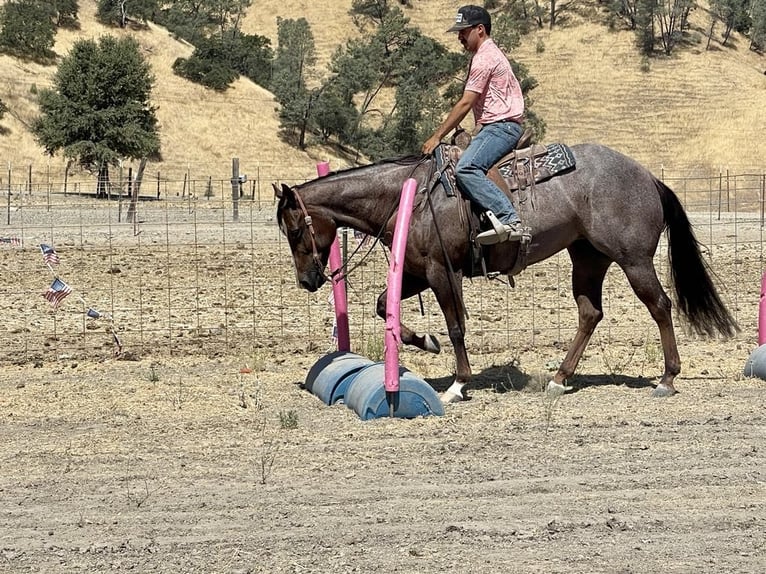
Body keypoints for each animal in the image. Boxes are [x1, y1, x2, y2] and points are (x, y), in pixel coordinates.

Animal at [275, 143, 738, 403]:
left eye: (295, 228)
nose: (307, 281)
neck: (409, 196)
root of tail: (648, 176)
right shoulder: (417, 271)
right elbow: (382, 306)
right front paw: (426, 341)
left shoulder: (442, 271)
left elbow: (457, 326)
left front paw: (458, 384)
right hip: (587, 258)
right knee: (590, 313)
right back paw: (559, 379)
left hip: (633, 259)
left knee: (659, 305)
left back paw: (667, 378)